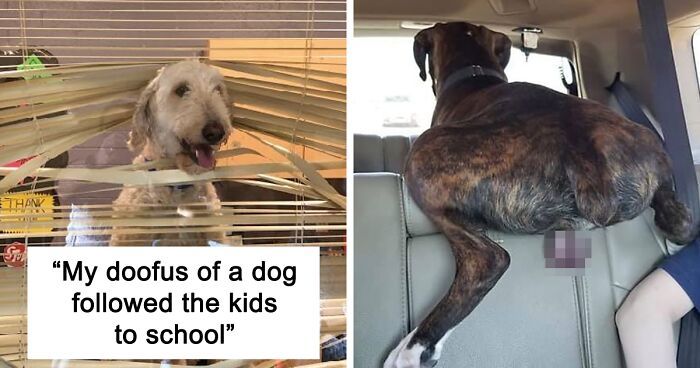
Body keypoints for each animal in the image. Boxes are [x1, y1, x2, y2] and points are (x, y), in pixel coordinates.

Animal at [386, 22, 696, 368]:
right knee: (681, 222)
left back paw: (416, 348)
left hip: (423, 154)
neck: (474, 71)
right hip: (657, 174)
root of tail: (585, 146)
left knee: (489, 259)